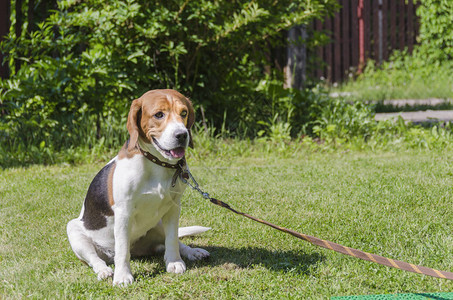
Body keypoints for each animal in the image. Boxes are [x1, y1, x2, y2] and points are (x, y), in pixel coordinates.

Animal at [66, 88, 210, 286]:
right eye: (159, 114)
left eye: (184, 113)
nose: (182, 135)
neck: (157, 163)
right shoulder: (124, 212)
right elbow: (122, 250)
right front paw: (122, 276)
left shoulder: (173, 207)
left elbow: (172, 239)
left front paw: (174, 262)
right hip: (74, 231)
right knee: (96, 259)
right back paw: (104, 270)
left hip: (157, 224)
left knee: (173, 241)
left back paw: (192, 252)